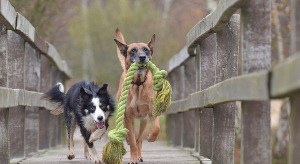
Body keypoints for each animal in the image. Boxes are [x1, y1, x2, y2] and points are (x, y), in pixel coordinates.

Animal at [114, 28, 161, 163]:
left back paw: (140, 154)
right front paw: (133, 157)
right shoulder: (127, 116)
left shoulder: (153, 111)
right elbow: (131, 138)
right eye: (133, 50)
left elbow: (156, 127)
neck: (138, 84)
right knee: (133, 138)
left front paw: (151, 137)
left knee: (139, 138)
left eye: (146, 50)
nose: (142, 57)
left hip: (143, 121)